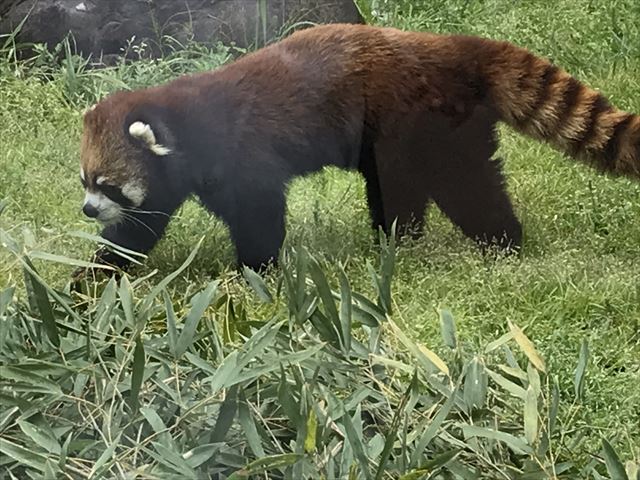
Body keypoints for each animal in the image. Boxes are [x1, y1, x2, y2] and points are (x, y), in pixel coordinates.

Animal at [79, 23, 640, 274]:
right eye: (85, 182)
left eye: (107, 184)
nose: (86, 209)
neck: (183, 119)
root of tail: (450, 46)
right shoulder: (174, 178)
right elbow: (140, 228)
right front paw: (98, 276)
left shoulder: (242, 156)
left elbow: (260, 215)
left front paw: (257, 271)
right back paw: (397, 240)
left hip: (427, 124)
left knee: (464, 185)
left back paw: (499, 242)